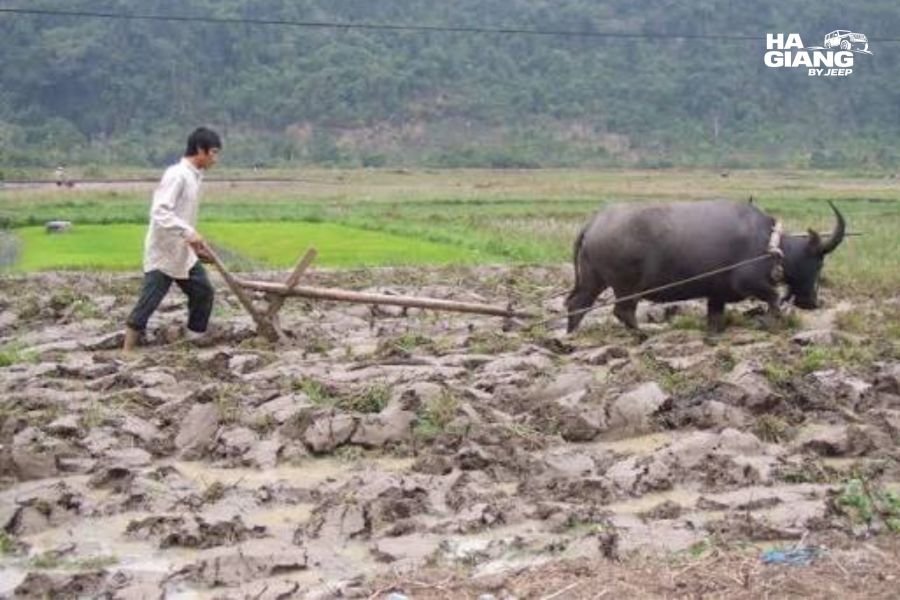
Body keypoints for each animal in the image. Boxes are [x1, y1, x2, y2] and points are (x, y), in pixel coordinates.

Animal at [565, 199, 845, 334]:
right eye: (818, 260)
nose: (812, 302)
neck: (770, 244)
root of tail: (593, 223)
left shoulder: (716, 295)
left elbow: (715, 318)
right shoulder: (748, 282)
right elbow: (774, 298)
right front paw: (769, 322)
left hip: (593, 279)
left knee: (577, 304)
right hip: (627, 286)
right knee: (622, 311)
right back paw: (642, 333)